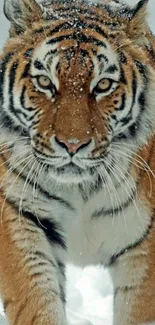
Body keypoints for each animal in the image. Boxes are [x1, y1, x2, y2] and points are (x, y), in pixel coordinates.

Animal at [0, 0, 155, 322]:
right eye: (45, 82)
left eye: (103, 85)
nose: (73, 144)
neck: (81, 189)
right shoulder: (20, 218)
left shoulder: (145, 247)